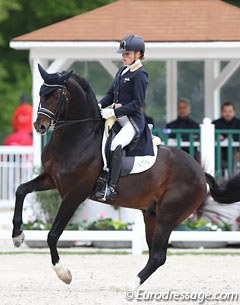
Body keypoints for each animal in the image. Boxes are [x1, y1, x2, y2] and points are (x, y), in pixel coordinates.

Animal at [13, 64, 211, 284]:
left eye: (57, 95)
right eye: (41, 93)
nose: (40, 126)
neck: (77, 137)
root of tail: (200, 173)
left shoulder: (74, 194)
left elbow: (53, 234)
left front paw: (63, 273)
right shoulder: (51, 179)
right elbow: (21, 190)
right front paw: (17, 236)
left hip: (167, 216)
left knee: (158, 255)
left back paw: (128, 286)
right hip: (151, 213)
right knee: (154, 253)